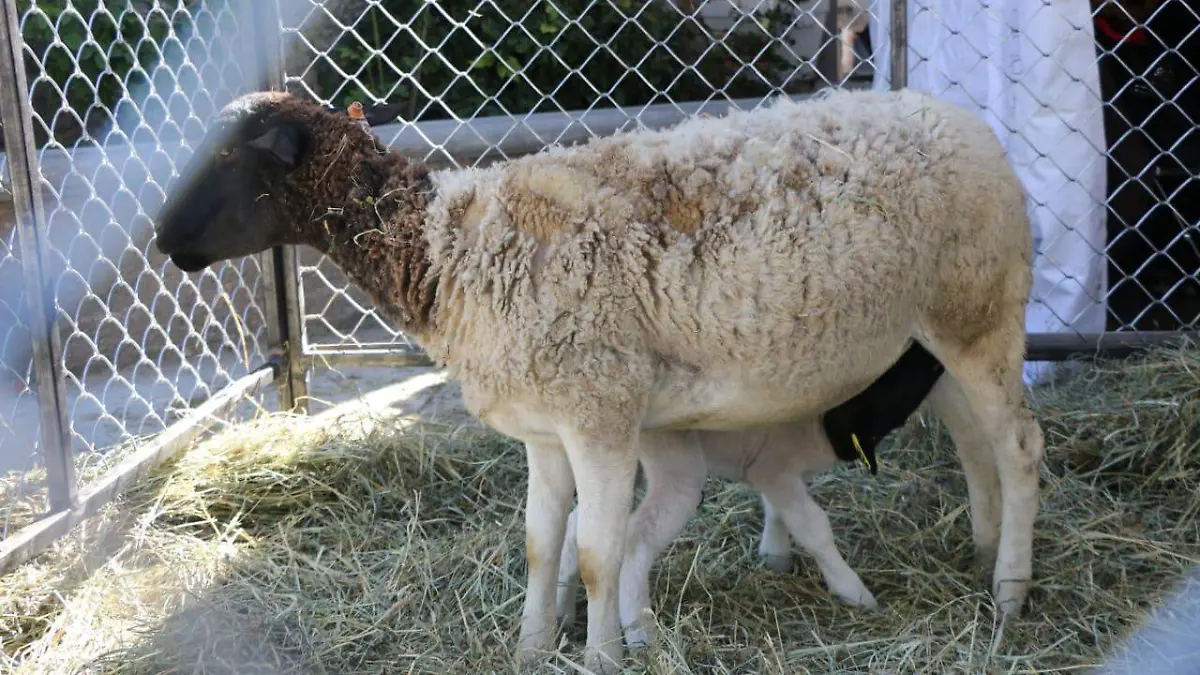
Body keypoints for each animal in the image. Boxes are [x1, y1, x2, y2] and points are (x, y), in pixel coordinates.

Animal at [555, 339, 946, 645]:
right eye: (895, 374)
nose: (936, 358)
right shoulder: (775, 468)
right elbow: (813, 526)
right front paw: (852, 590)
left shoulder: (774, 473)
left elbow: (776, 510)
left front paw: (775, 556)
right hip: (676, 469)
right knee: (635, 541)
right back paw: (640, 634)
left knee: (579, 525)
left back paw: (563, 613)